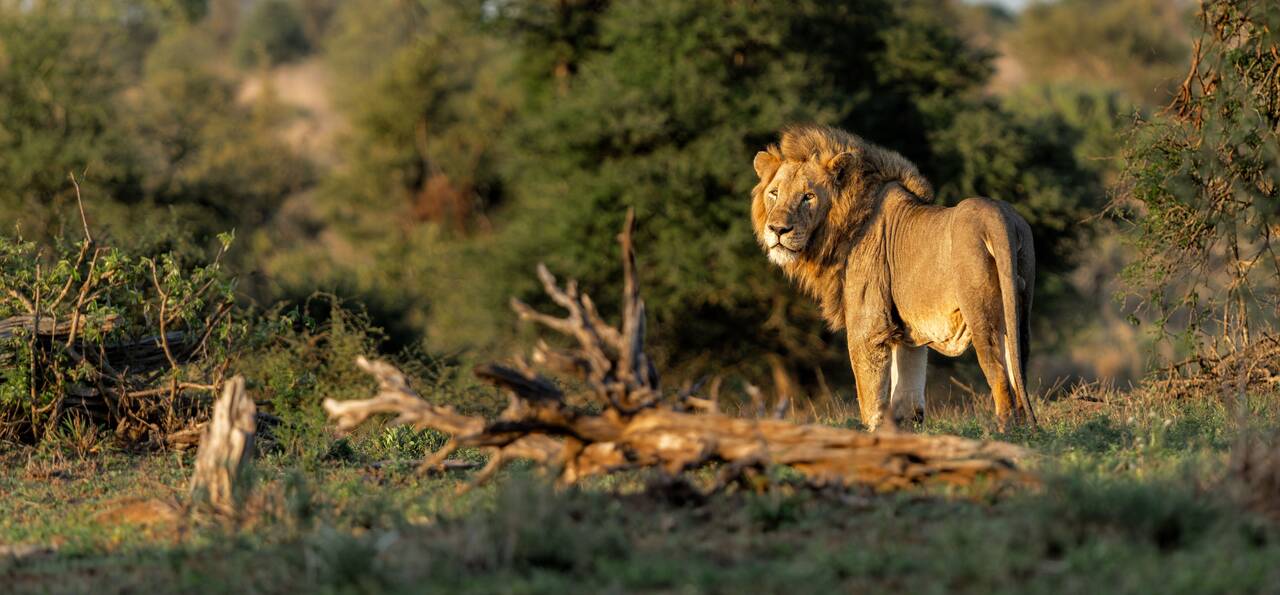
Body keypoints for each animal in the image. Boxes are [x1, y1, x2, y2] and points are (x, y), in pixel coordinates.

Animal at [750, 124, 1036, 431]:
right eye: (774, 193)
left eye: (808, 196)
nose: (778, 229)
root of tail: (1000, 215)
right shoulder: (908, 335)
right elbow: (908, 398)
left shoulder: (869, 326)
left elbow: (870, 398)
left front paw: (874, 435)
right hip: (1018, 309)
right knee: (1018, 367)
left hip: (981, 313)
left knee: (999, 375)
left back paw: (1005, 431)